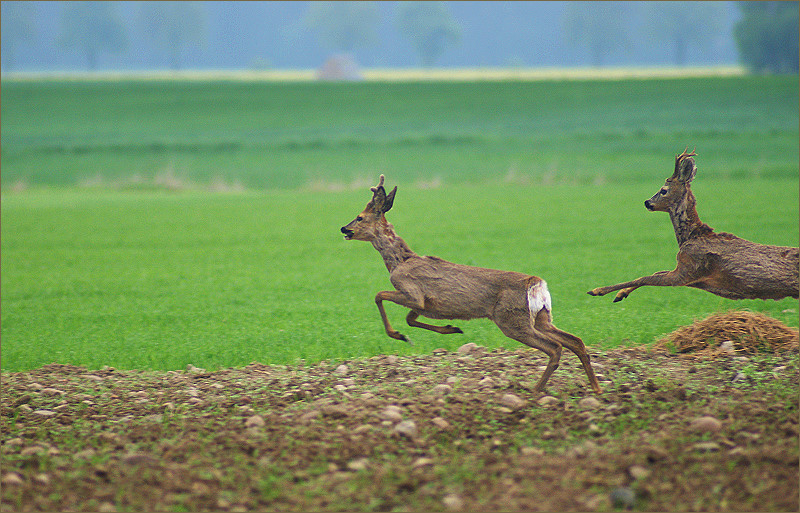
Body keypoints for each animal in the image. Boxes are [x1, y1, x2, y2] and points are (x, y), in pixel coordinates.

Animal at [342, 174, 600, 394]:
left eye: (360, 217)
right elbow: (410, 319)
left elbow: (379, 295)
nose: (344, 228)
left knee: (555, 348)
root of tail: (537, 284)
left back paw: (535, 390)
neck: (398, 261)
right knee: (575, 341)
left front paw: (398, 335)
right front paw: (451, 328)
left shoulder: (412, 292)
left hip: (511, 319)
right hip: (541, 317)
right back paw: (596, 388)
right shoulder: (424, 305)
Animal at [588, 148, 800, 302]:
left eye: (663, 190)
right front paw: (620, 294)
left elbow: (646, 277)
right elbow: (655, 272)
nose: (647, 202)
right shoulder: (689, 275)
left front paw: (597, 290)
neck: (692, 235)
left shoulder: (688, 270)